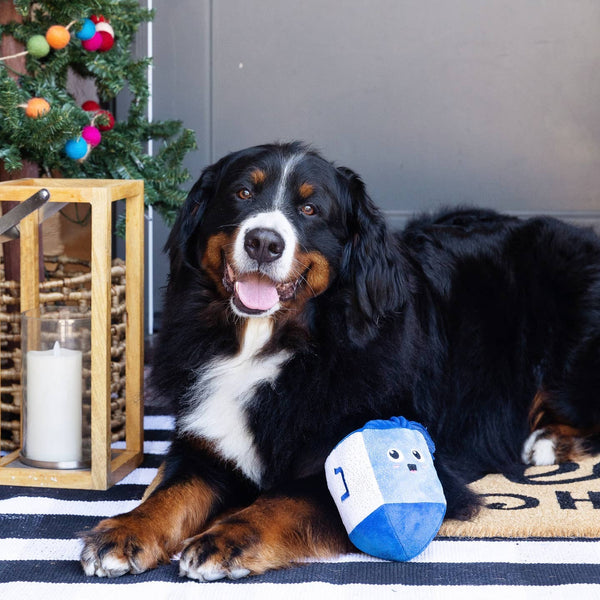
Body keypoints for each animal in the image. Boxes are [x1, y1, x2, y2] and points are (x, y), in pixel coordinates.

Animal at [82, 142, 600, 580]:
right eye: (243, 193)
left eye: (310, 209)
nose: (264, 242)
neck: (275, 345)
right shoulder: (207, 441)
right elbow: (172, 492)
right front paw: (125, 530)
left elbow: (286, 500)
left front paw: (224, 539)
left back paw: (546, 442)